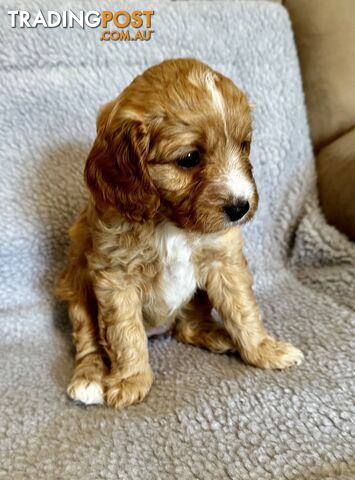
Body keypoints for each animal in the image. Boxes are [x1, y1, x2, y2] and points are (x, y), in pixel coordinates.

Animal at [57, 57, 304, 408]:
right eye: (189, 158)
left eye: (244, 146)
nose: (241, 207)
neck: (171, 222)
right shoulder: (115, 277)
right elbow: (124, 333)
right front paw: (131, 379)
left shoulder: (224, 260)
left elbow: (242, 308)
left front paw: (263, 350)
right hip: (76, 288)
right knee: (89, 338)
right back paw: (89, 378)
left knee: (188, 327)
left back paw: (218, 335)